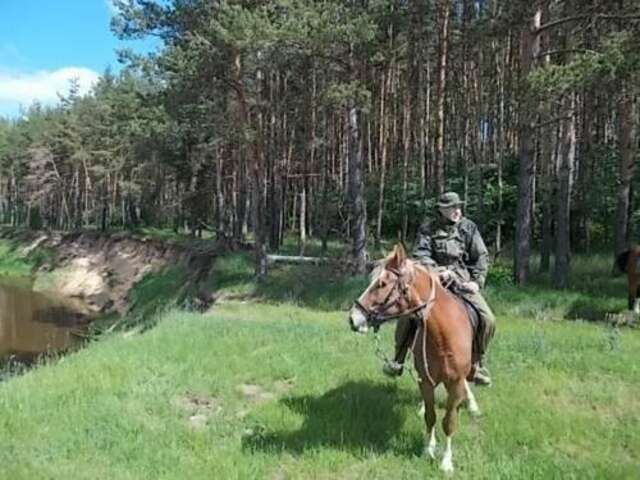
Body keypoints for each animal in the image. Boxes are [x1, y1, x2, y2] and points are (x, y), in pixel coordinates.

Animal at [348, 244, 478, 472]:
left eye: (382, 283)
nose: (353, 319)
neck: (443, 335)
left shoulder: (454, 384)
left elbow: (449, 421)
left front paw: (446, 462)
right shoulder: (425, 380)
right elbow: (430, 416)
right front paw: (428, 449)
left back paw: (471, 404)